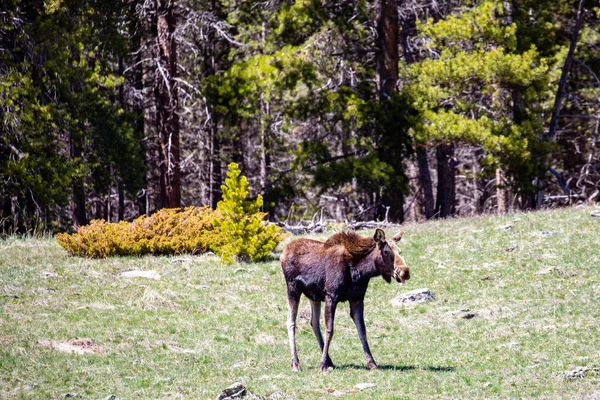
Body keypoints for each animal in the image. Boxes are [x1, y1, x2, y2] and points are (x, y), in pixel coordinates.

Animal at [280, 228, 410, 372]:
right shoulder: (331, 295)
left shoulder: (357, 298)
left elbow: (362, 330)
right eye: (386, 251)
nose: (405, 271)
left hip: (313, 296)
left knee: (314, 322)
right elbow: (330, 329)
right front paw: (322, 364)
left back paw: (329, 361)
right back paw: (296, 363)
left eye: (399, 251)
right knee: (291, 322)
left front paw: (372, 363)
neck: (361, 271)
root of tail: (283, 252)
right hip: (293, 288)